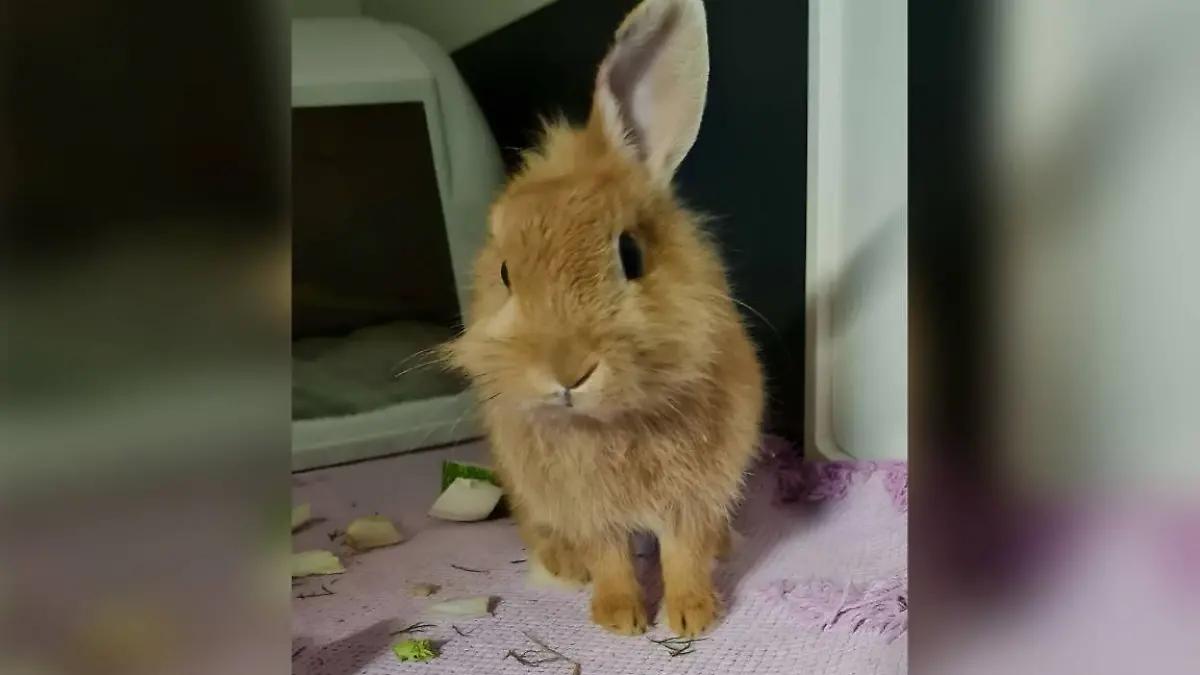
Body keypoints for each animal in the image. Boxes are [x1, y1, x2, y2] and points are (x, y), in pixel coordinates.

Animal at [444, 0, 763, 638]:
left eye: (630, 253)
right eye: (506, 273)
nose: (568, 373)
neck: (609, 421)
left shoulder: (695, 491)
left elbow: (683, 549)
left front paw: (692, 617)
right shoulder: (586, 505)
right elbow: (611, 554)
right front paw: (620, 618)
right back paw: (565, 565)